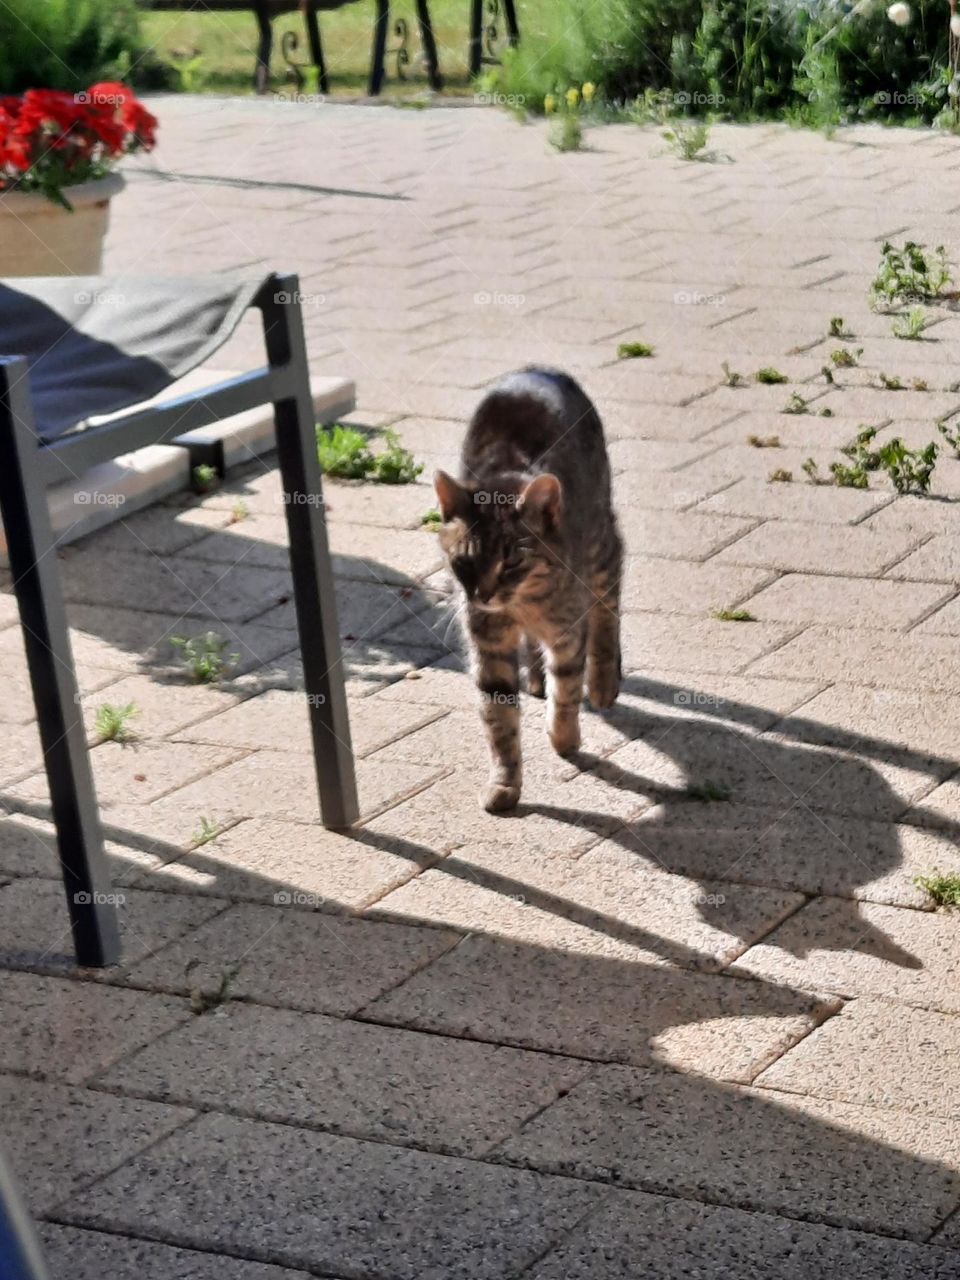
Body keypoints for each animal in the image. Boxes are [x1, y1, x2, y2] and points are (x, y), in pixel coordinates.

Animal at [435, 368, 624, 808]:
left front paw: (564, 738)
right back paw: (537, 678)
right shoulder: (488, 645)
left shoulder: (568, 632)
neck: (522, 605)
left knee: (608, 607)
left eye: (511, 562)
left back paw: (603, 682)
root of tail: (540, 369)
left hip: (601, 545)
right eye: (465, 562)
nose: (482, 595)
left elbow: (567, 688)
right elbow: (499, 718)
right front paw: (505, 781)